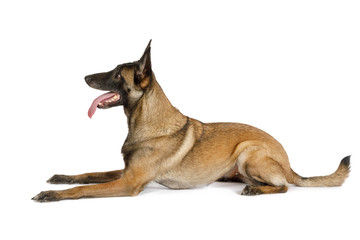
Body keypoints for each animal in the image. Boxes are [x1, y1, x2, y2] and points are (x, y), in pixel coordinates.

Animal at [32, 40, 350, 202]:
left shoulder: (129, 182)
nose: (85, 77)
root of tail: (289, 163)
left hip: (249, 151)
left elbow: (85, 189)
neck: (146, 121)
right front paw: (61, 177)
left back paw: (258, 189)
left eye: (116, 74)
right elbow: (89, 174)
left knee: (284, 186)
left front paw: (52, 193)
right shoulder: (126, 172)